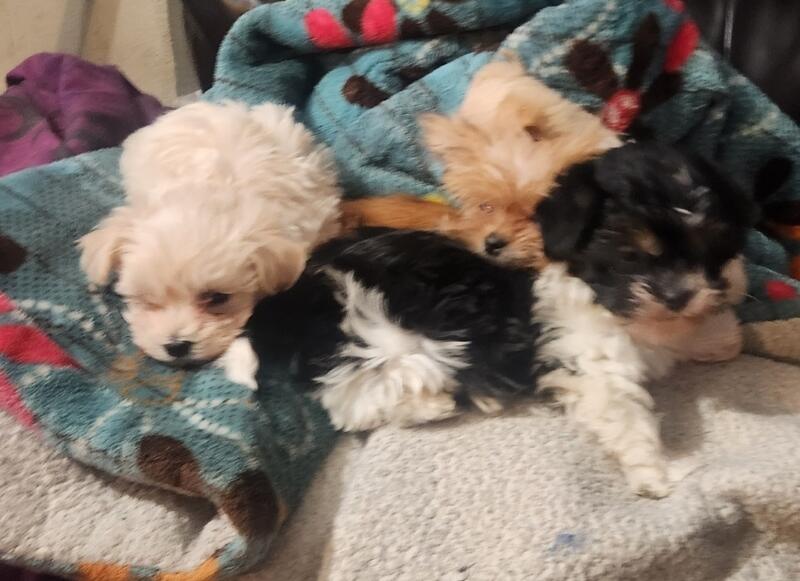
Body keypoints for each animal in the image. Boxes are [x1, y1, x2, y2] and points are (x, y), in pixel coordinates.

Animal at [224, 142, 755, 497]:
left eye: (711, 247)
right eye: (630, 254)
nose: (678, 295)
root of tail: (292, 299)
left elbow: (708, 334)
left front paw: (718, 332)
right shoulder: (589, 358)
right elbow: (622, 410)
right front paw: (657, 475)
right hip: (379, 335)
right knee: (357, 397)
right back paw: (439, 402)